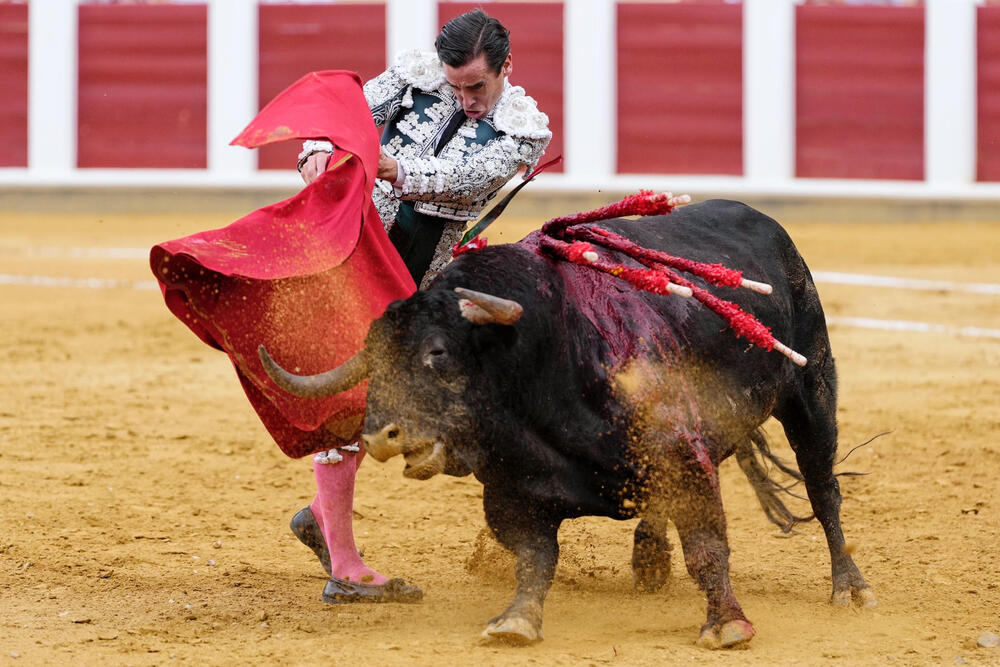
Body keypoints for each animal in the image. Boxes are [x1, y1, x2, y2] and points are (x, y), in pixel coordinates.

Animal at [258, 200, 876, 648]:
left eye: (438, 353)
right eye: (374, 364)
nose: (380, 436)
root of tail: (765, 222)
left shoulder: (683, 455)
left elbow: (707, 544)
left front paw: (726, 625)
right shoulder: (512, 491)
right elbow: (534, 558)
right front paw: (515, 621)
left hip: (812, 392)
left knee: (823, 489)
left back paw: (851, 588)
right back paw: (649, 559)